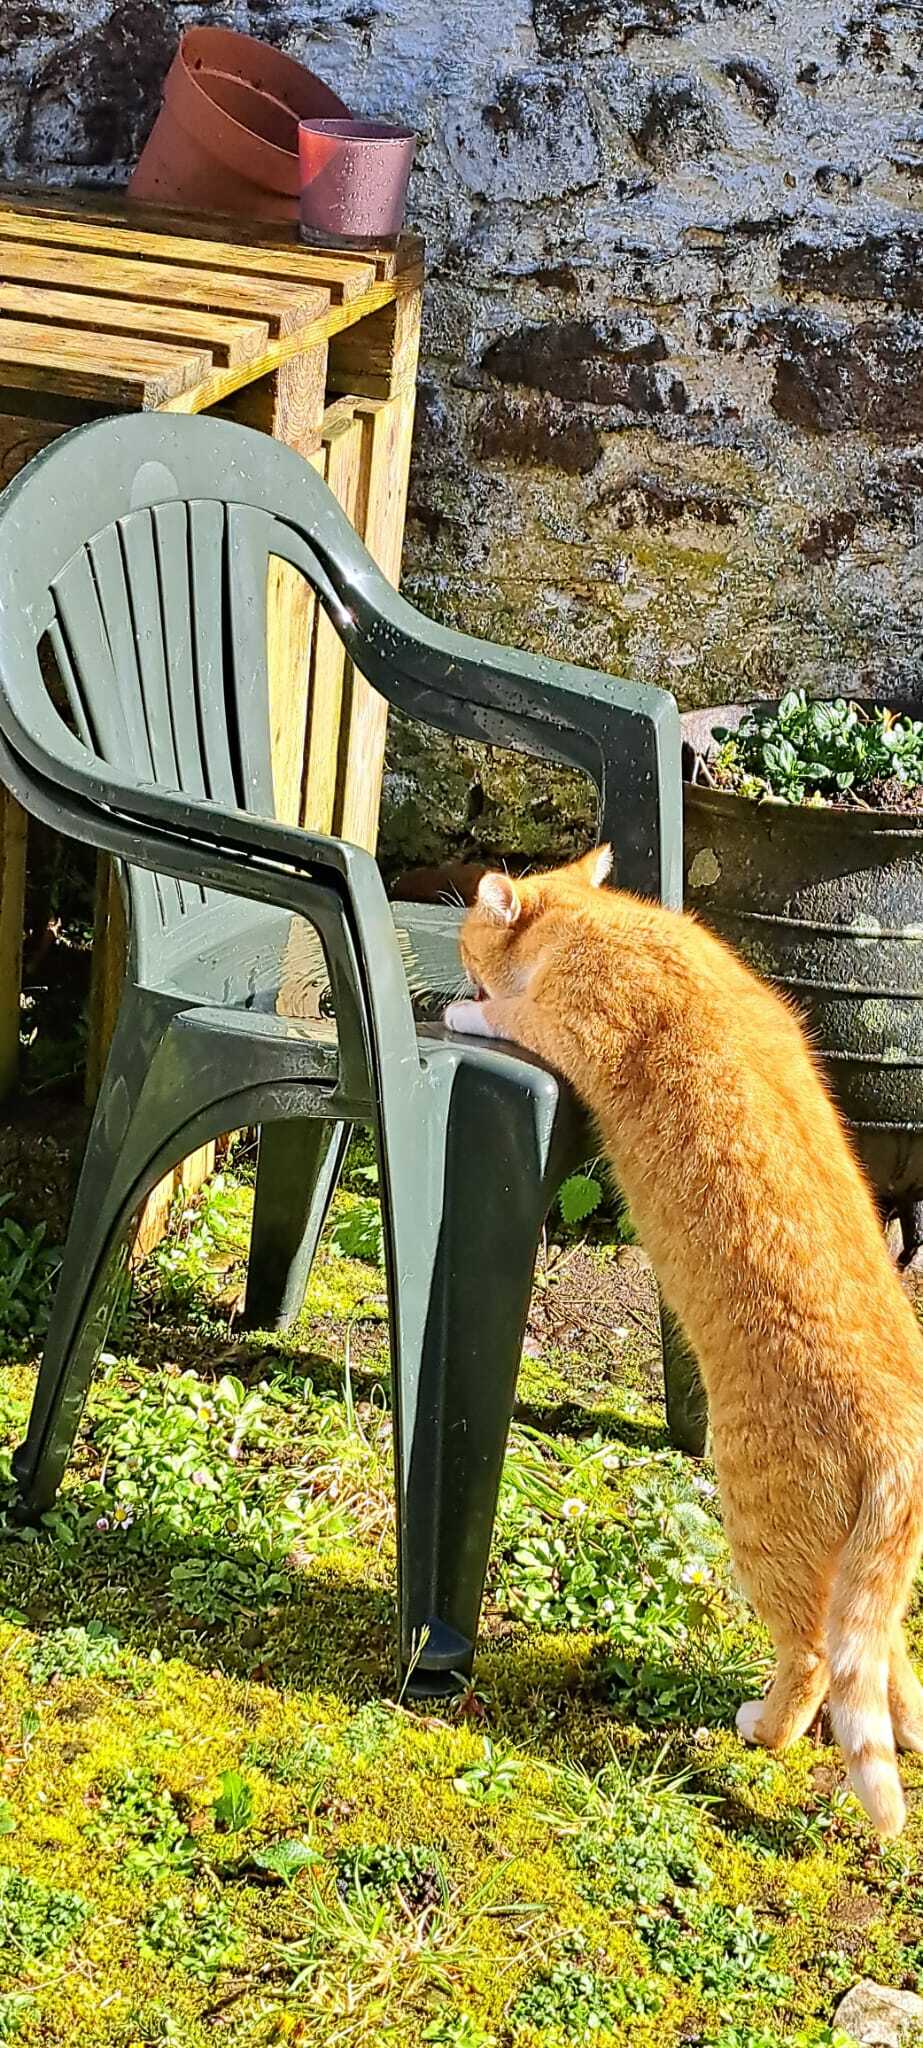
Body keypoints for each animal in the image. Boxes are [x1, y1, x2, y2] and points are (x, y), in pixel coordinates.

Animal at [446, 847, 923, 1843]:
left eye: (469, 940)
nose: (455, 966)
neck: (607, 925)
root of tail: (902, 1430)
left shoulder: (562, 1021)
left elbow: (505, 1013)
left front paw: (463, 1007)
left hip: (758, 1520)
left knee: (813, 1659)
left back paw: (760, 1728)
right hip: (865, 1573)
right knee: (882, 1661)